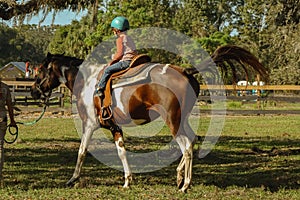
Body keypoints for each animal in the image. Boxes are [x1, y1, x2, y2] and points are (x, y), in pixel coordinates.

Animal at [30, 45, 268, 192]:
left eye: (40, 71)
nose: (33, 91)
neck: (87, 81)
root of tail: (185, 71)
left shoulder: (89, 125)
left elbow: (81, 151)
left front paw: (73, 179)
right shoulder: (115, 127)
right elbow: (122, 152)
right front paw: (128, 181)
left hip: (173, 121)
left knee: (186, 147)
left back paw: (185, 184)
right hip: (182, 119)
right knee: (192, 140)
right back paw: (180, 176)